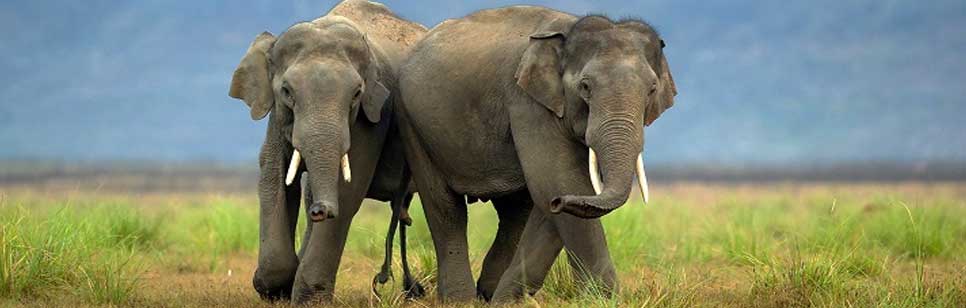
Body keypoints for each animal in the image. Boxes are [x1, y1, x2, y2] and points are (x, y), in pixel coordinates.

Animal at [227, 0, 428, 304]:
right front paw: (273, 291)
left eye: (356, 94)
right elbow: (274, 178)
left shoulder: (372, 118)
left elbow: (348, 192)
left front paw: (306, 301)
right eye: (286, 91)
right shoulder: (277, 115)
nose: (320, 210)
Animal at [398, 6, 676, 302]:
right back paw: (461, 300)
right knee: (445, 208)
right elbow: (555, 181)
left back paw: (487, 292)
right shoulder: (528, 102)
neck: (569, 31)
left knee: (515, 213)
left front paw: (506, 300)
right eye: (585, 87)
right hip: (413, 123)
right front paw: (603, 299)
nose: (559, 202)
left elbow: (552, 196)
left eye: (652, 89)